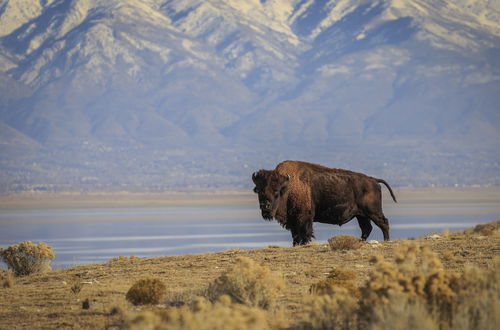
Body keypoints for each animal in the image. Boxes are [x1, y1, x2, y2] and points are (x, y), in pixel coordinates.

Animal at [252, 160, 396, 245]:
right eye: (259, 190)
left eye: (276, 191)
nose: (265, 206)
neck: (288, 187)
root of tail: (373, 180)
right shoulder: (293, 221)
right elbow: (295, 235)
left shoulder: (304, 219)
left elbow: (304, 234)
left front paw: (304, 244)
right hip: (361, 215)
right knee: (367, 228)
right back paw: (360, 241)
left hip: (373, 212)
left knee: (383, 223)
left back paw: (386, 240)